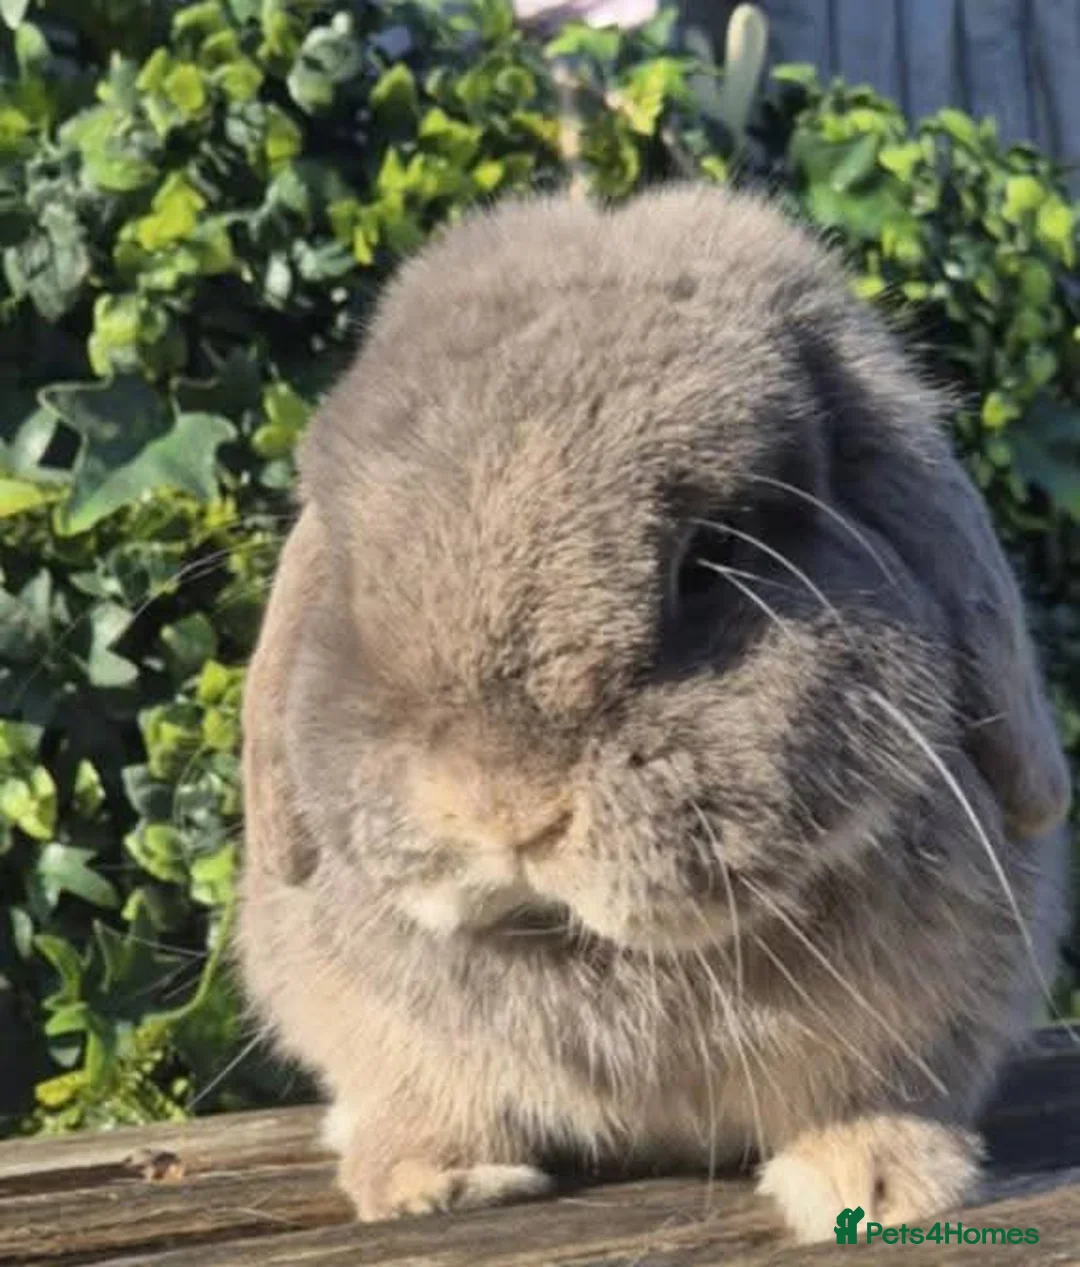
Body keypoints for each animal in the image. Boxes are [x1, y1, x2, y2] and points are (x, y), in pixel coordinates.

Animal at [236, 184, 1072, 1243]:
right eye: (354, 574)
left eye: (710, 558)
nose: (504, 809)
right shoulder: (392, 1027)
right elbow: (432, 1087)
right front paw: (434, 1180)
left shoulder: (922, 1014)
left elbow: (874, 1088)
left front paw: (878, 1182)